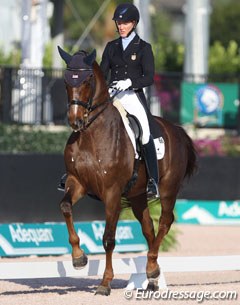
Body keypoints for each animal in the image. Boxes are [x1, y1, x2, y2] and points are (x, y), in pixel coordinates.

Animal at [57, 47, 197, 294]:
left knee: (165, 221)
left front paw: (105, 283)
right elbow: (65, 207)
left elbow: (109, 238)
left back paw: (151, 268)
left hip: (168, 190)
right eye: (66, 81)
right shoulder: (78, 182)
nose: (75, 121)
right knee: (149, 228)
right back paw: (152, 274)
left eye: (87, 80)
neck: (91, 134)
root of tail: (177, 131)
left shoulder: (112, 192)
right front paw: (78, 258)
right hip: (137, 195)